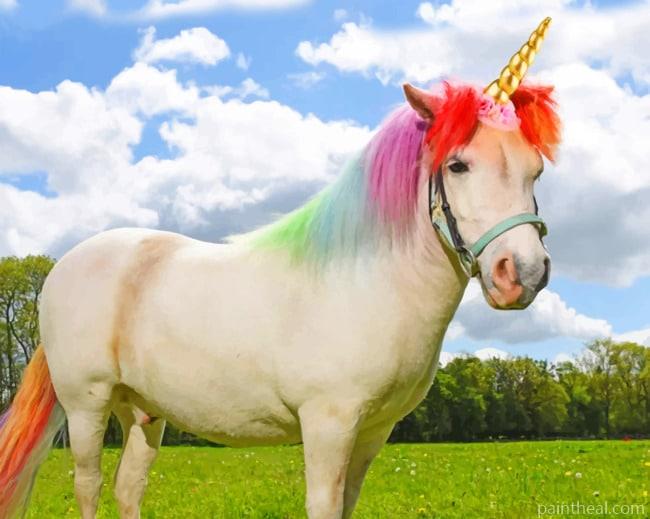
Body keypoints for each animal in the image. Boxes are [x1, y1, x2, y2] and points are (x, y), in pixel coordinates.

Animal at [0, 18, 560, 519]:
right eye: (458, 165)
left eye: (537, 170)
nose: (523, 273)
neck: (368, 286)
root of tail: (65, 265)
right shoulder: (328, 425)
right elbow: (323, 506)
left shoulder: (373, 432)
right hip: (87, 405)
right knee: (89, 487)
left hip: (142, 410)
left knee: (128, 488)